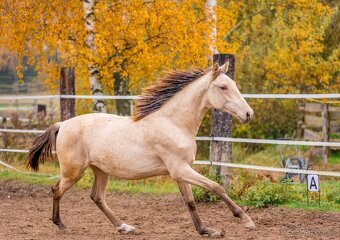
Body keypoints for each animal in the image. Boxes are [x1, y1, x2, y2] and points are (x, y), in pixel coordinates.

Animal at [26, 60, 254, 238]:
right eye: (223, 87)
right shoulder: (180, 170)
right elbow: (217, 187)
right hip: (73, 171)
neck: (173, 124)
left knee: (97, 197)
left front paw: (206, 230)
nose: (248, 114)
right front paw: (246, 219)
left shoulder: (180, 172)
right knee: (56, 190)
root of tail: (62, 124)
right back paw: (61, 225)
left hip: (100, 170)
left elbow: (190, 202)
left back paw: (125, 227)